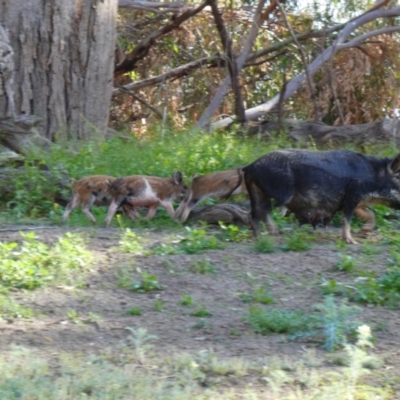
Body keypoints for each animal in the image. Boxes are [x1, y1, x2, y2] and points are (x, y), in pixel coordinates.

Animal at [242, 149, 400, 244]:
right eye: (399, 179)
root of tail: (250, 166)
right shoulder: (352, 197)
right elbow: (347, 220)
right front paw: (352, 242)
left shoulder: (359, 203)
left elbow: (370, 214)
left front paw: (364, 231)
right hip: (279, 194)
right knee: (260, 211)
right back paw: (266, 236)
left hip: (258, 192)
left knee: (255, 212)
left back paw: (265, 235)